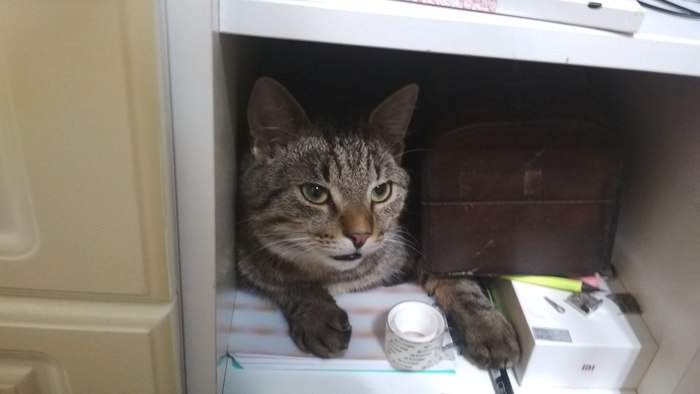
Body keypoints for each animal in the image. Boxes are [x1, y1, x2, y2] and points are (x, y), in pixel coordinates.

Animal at [235, 77, 520, 370]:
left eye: (381, 191)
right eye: (314, 192)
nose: (360, 236)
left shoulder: (417, 243)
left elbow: (455, 279)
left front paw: (487, 325)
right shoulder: (243, 258)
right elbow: (281, 281)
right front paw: (317, 313)